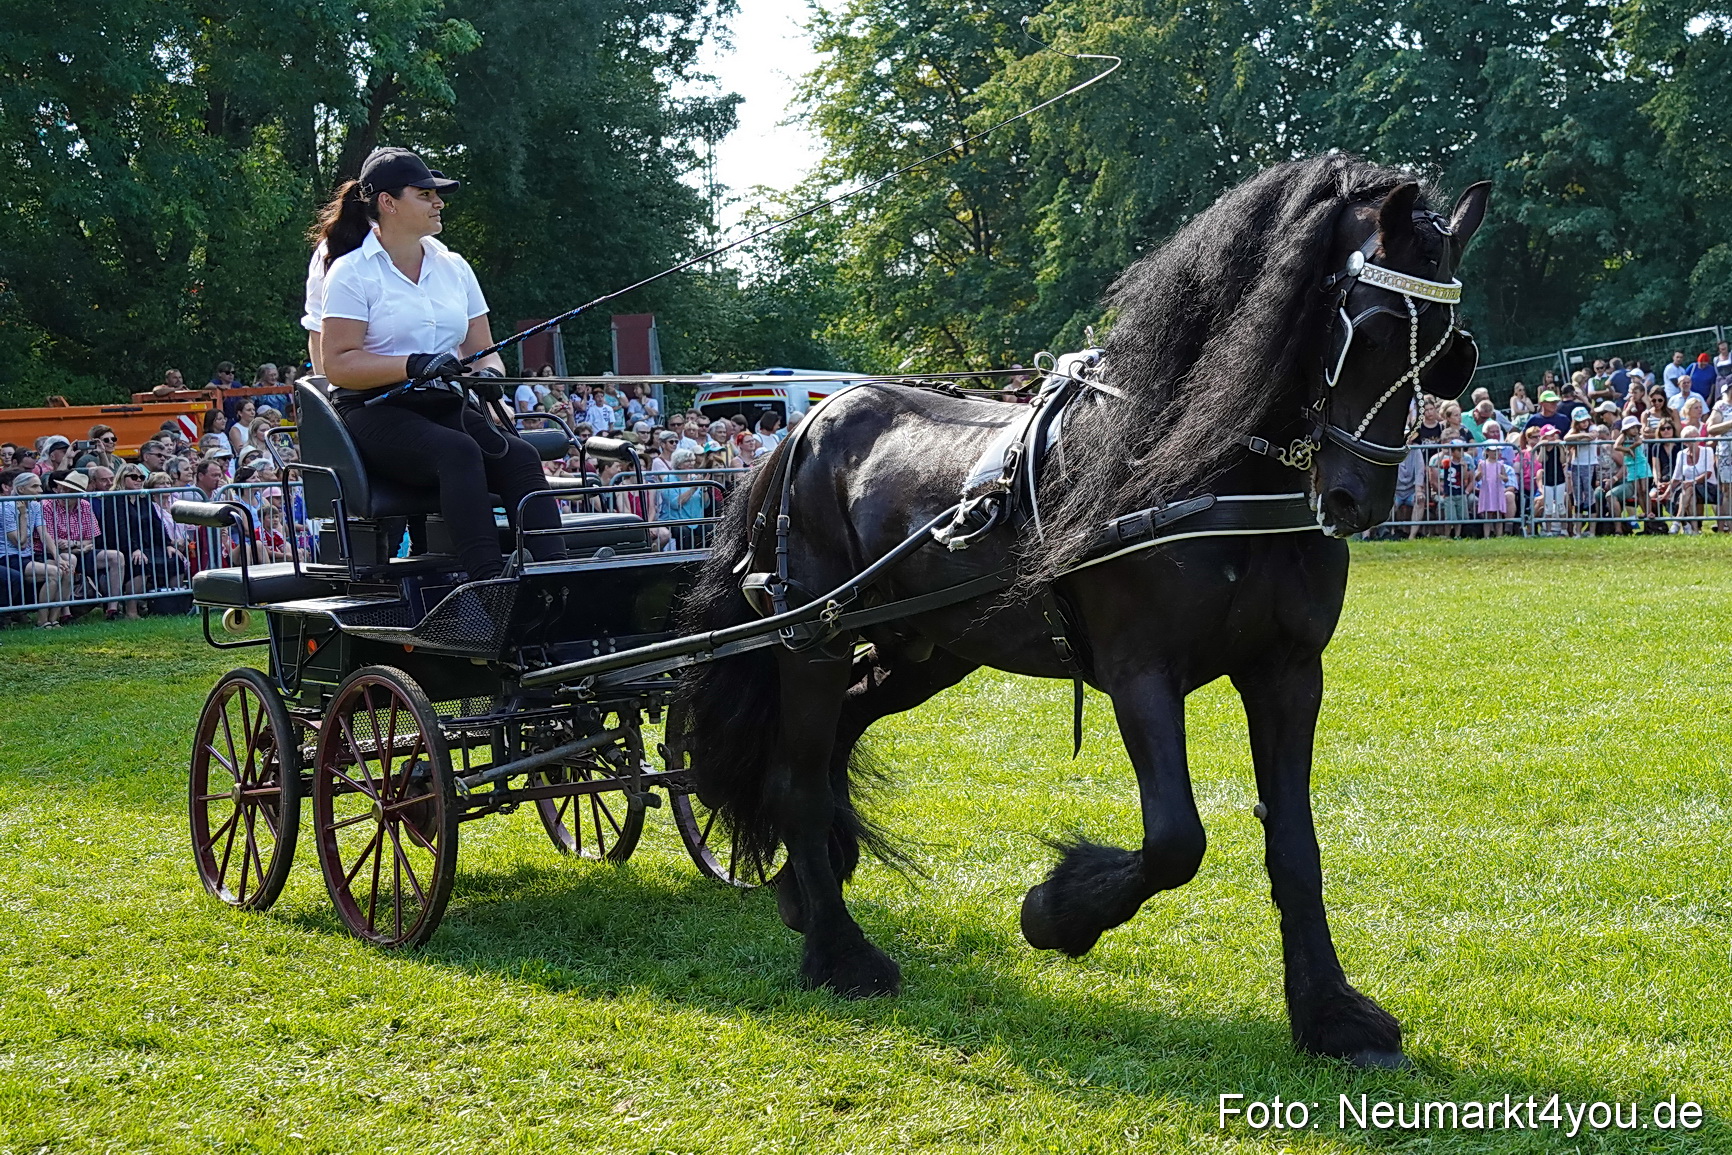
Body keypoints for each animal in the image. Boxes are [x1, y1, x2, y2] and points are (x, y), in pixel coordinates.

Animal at [676, 154, 1490, 1067]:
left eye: (1451, 351)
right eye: (1374, 329)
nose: (1359, 498)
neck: (1207, 472)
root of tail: (807, 424)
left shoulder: (1288, 671)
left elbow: (1294, 843)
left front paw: (1331, 1014)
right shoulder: (1141, 673)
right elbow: (1176, 840)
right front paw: (1054, 912)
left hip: (924, 649)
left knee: (831, 750)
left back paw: (806, 889)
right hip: (811, 644)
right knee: (796, 776)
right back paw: (839, 953)